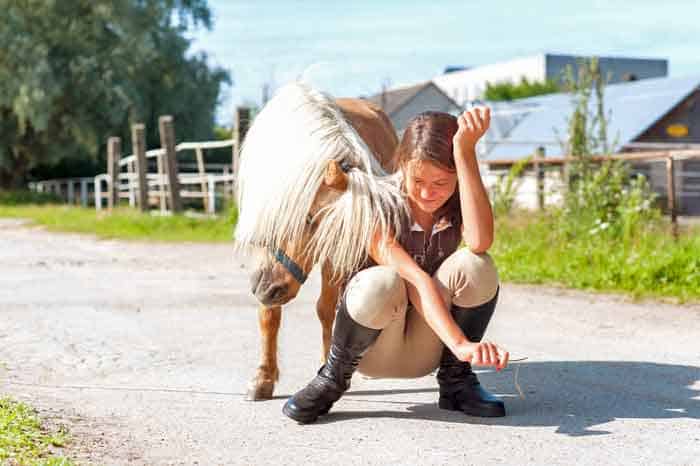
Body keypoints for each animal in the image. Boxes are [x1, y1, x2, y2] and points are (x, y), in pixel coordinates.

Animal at [237, 82, 410, 398]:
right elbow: (269, 314)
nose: (269, 290)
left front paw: (326, 364)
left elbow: (326, 309)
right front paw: (263, 377)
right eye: (304, 217)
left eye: (312, 220)